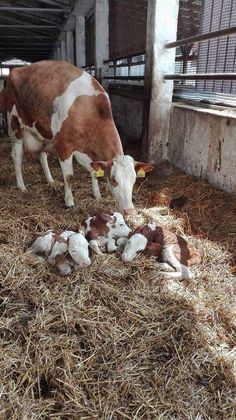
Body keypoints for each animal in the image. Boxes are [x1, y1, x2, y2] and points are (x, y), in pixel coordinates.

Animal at [0, 60, 153, 213]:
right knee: (17, 157)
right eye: (114, 180)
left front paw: (97, 194)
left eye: (134, 180)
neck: (88, 110)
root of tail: (16, 70)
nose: (129, 211)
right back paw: (21, 186)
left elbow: (93, 171)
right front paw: (69, 202)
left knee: (42, 155)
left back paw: (50, 180)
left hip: (43, 133)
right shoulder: (64, 145)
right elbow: (69, 177)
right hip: (14, 127)